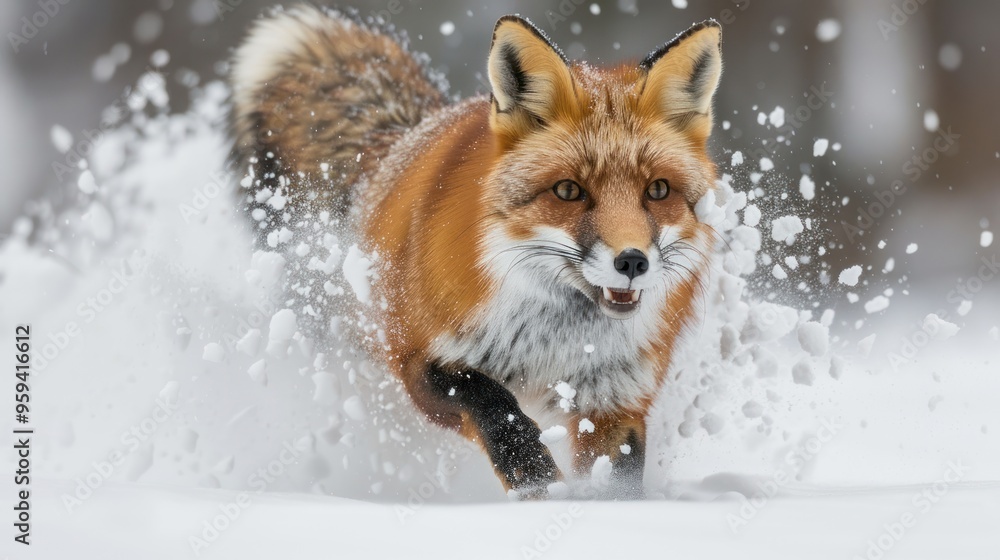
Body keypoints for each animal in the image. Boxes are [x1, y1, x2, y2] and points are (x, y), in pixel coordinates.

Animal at [231, 4, 722, 499]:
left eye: (657, 190)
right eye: (568, 190)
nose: (633, 262)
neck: (550, 343)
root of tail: (400, 140)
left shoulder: (616, 397)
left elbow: (617, 479)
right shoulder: (419, 358)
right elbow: (491, 401)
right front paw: (533, 477)